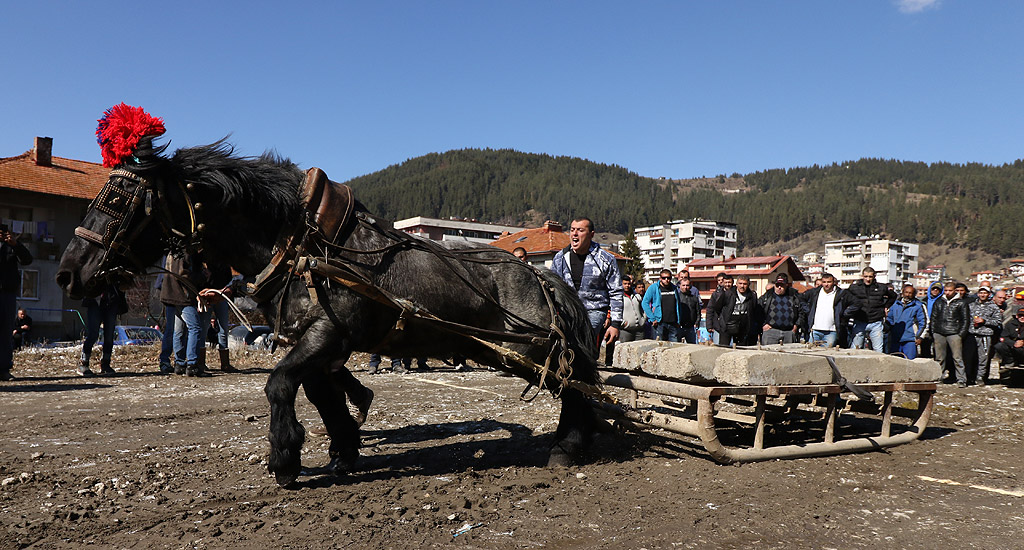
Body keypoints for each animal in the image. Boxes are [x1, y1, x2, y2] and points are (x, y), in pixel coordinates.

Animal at [58, 135, 598, 487]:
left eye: (119, 200)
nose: (68, 274)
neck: (301, 244)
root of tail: (541, 276)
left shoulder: (328, 335)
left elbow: (279, 383)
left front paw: (285, 457)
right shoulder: (315, 341)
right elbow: (320, 392)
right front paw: (343, 448)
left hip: (533, 347)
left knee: (577, 384)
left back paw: (569, 447)